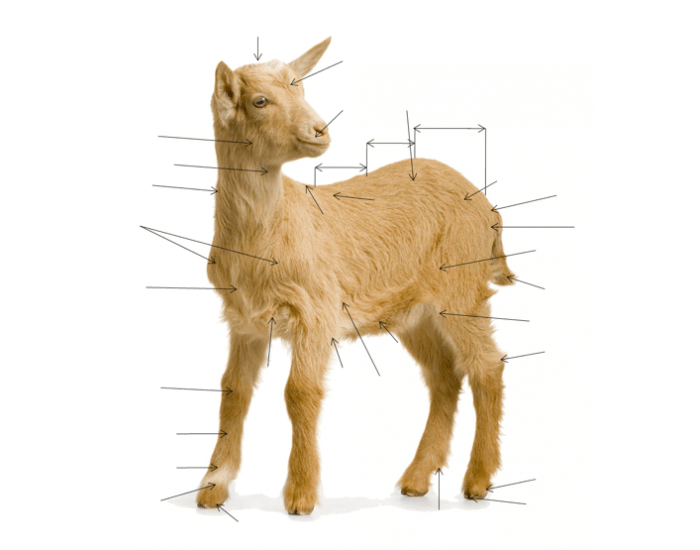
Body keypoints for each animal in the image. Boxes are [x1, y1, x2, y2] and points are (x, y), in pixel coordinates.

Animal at [194, 37, 515, 515]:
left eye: (302, 88)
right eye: (260, 100)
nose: (319, 131)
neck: (271, 230)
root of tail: (488, 208)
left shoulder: (315, 311)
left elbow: (299, 393)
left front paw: (301, 495)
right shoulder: (244, 320)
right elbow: (233, 392)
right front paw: (213, 487)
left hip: (462, 287)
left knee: (487, 366)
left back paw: (477, 480)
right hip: (415, 311)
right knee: (444, 375)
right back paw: (417, 479)